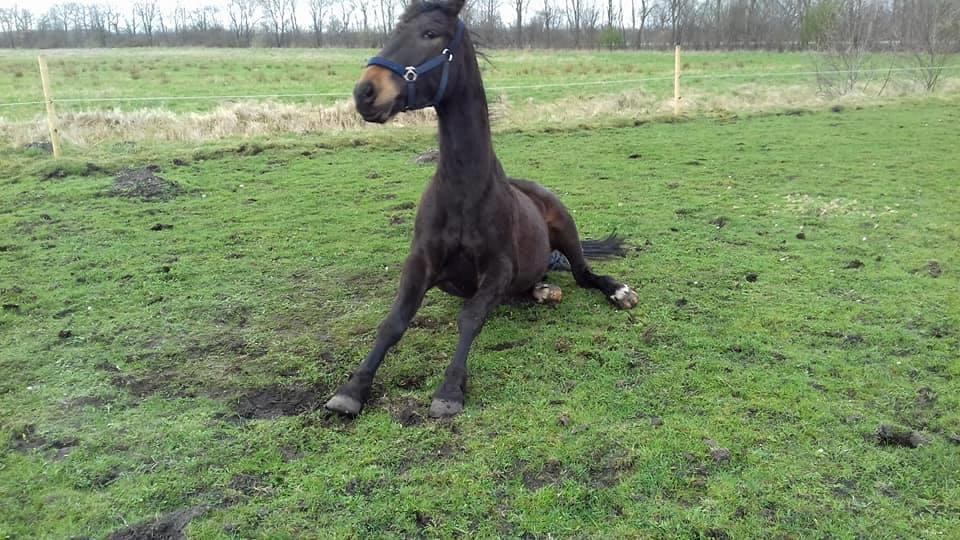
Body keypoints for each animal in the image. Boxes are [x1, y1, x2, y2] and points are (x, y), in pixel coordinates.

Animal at [324, 0, 639, 418]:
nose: (365, 92)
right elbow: (393, 322)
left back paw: (619, 292)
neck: (462, 190)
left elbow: (471, 317)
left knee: (584, 274)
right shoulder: (420, 262)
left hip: (566, 227)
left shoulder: (498, 268)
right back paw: (544, 290)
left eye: (430, 34)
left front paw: (449, 391)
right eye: (393, 32)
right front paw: (352, 389)